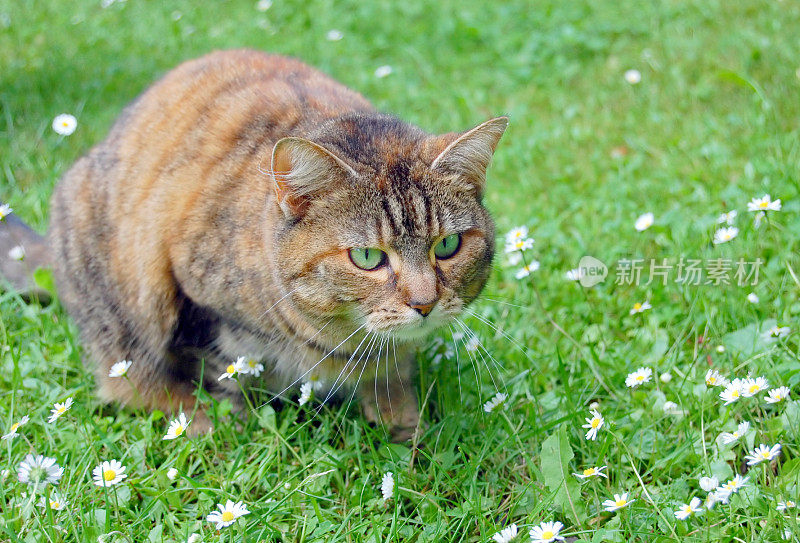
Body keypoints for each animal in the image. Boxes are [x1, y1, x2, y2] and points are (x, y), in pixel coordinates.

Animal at [0, 50, 510, 442]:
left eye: (447, 245)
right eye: (368, 257)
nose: (424, 303)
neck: (338, 342)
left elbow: (393, 377)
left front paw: (403, 423)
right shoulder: (198, 308)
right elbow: (222, 381)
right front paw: (233, 429)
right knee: (130, 381)